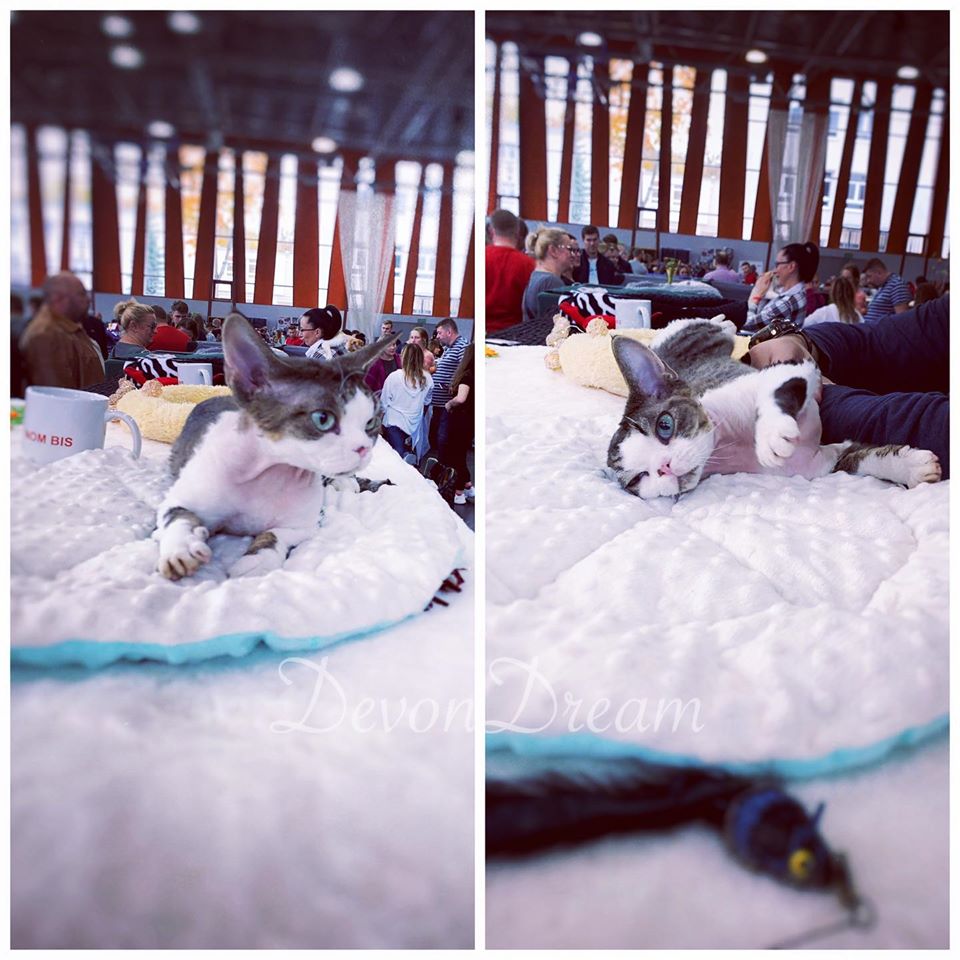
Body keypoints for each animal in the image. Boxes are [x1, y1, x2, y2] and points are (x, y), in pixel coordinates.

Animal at [155, 312, 399, 580]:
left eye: (371, 422)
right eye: (322, 419)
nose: (364, 449)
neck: (273, 470)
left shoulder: (306, 524)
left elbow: (278, 534)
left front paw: (257, 559)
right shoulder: (180, 496)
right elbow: (178, 515)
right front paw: (183, 547)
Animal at [607, 317, 941, 499]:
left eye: (665, 425)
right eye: (638, 479)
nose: (663, 467)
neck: (732, 443)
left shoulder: (796, 367)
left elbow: (778, 389)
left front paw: (771, 434)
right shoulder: (821, 463)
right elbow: (858, 456)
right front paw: (910, 466)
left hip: (692, 339)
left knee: (699, 328)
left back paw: (725, 322)